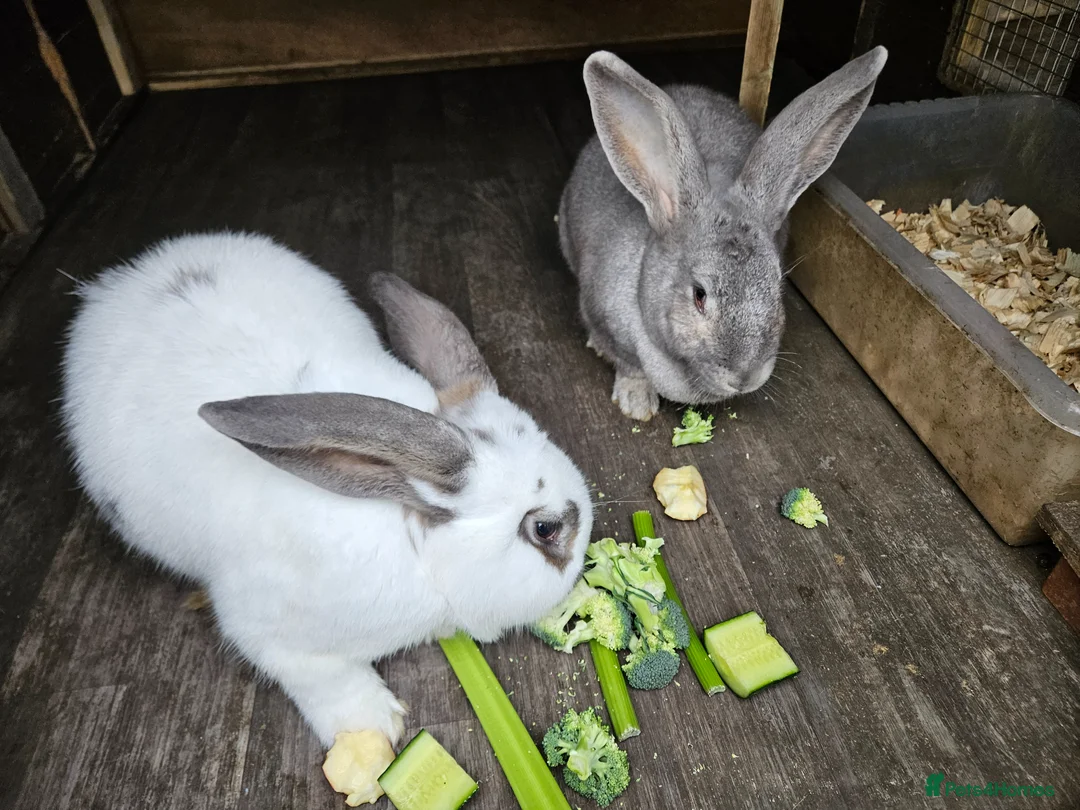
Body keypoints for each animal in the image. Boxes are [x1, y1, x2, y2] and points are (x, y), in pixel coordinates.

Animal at [59, 231, 594, 747]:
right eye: (546, 530)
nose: (581, 559)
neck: (414, 544)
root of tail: (115, 285)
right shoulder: (267, 631)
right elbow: (324, 677)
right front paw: (373, 725)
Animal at [558, 46, 888, 420]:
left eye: (777, 287)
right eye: (699, 294)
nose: (745, 377)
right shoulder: (601, 315)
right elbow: (627, 364)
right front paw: (637, 403)